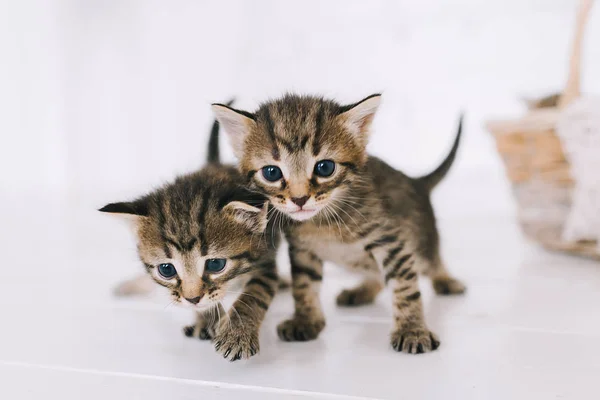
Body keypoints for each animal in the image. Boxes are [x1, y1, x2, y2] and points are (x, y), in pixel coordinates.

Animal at [101, 111, 282, 360]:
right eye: (166, 269)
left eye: (215, 264)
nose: (192, 299)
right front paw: (206, 320)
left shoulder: (265, 258)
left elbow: (254, 294)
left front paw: (237, 334)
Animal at [213, 94, 466, 354]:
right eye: (271, 172)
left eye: (325, 167)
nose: (299, 199)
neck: (322, 222)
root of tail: (416, 182)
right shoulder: (302, 249)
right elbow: (304, 285)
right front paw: (306, 320)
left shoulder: (391, 239)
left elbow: (404, 286)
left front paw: (412, 330)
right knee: (376, 273)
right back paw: (361, 291)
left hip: (420, 243)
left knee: (431, 262)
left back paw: (446, 281)